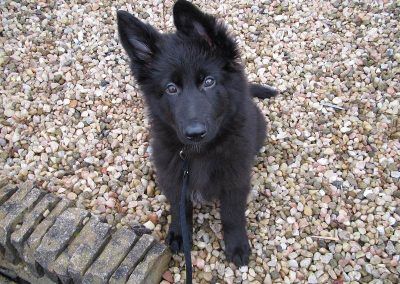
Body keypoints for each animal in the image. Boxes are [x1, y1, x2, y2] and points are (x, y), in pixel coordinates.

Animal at [117, 0, 276, 266]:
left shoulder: (235, 179)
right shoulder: (174, 177)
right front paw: (180, 234)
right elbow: (180, 208)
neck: (199, 153)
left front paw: (237, 245)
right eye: (171, 88)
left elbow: (232, 215)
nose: (195, 133)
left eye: (208, 81)